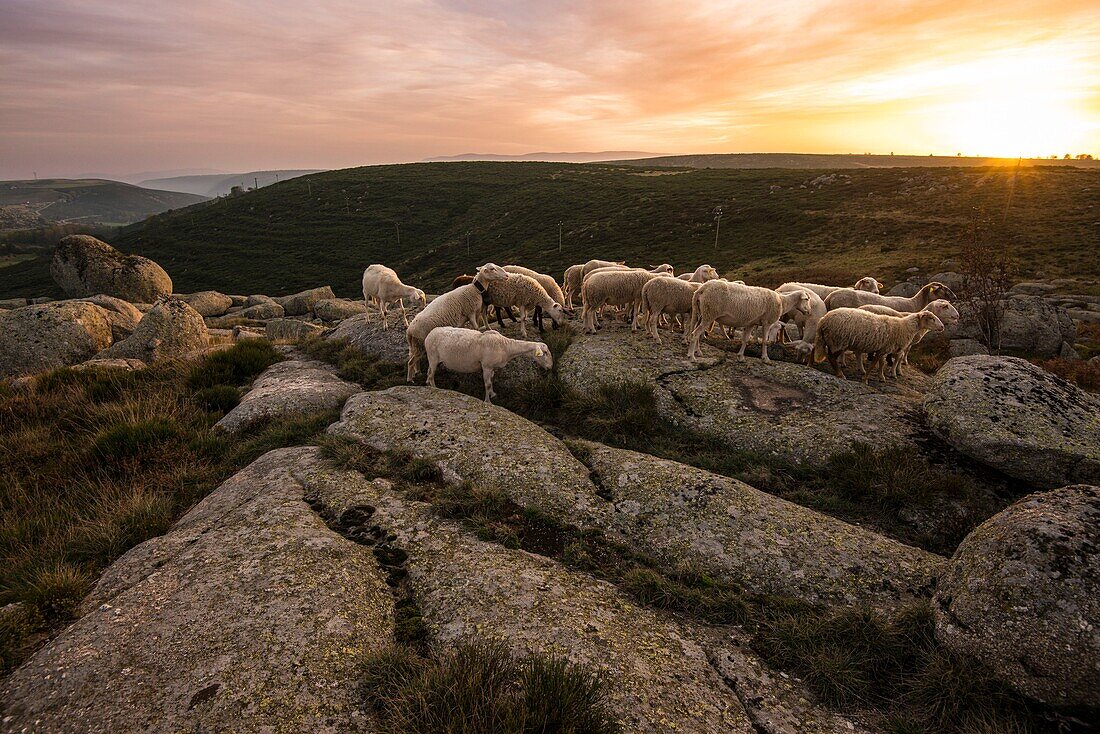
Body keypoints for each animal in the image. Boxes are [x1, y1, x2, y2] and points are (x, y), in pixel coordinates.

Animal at [424, 327, 554, 404]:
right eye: (545, 353)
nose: (550, 367)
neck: (507, 347)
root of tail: (429, 334)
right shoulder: (486, 366)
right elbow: (487, 384)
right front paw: (488, 401)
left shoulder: (492, 367)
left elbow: (491, 380)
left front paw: (492, 394)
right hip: (433, 356)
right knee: (431, 374)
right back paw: (435, 388)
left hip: (431, 358)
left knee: (428, 371)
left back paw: (427, 383)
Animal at [686, 281, 818, 360]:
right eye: (806, 299)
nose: (809, 312)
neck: (782, 301)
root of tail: (702, 289)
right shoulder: (767, 322)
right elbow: (764, 341)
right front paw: (765, 358)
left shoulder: (751, 323)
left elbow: (745, 339)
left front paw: (740, 356)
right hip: (710, 313)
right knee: (695, 334)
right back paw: (691, 356)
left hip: (702, 314)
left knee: (696, 333)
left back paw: (698, 352)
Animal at [809, 308, 946, 382]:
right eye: (932, 318)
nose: (942, 327)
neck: (904, 327)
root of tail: (823, 320)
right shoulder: (885, 348)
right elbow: (879, 363)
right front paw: (870, 379)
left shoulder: (883, 349)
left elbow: (880, 363)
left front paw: (881, 377)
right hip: (839, 341)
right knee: (832, 357)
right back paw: (840, 374)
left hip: (826, 339)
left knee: (814, 347)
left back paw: (809, 365)